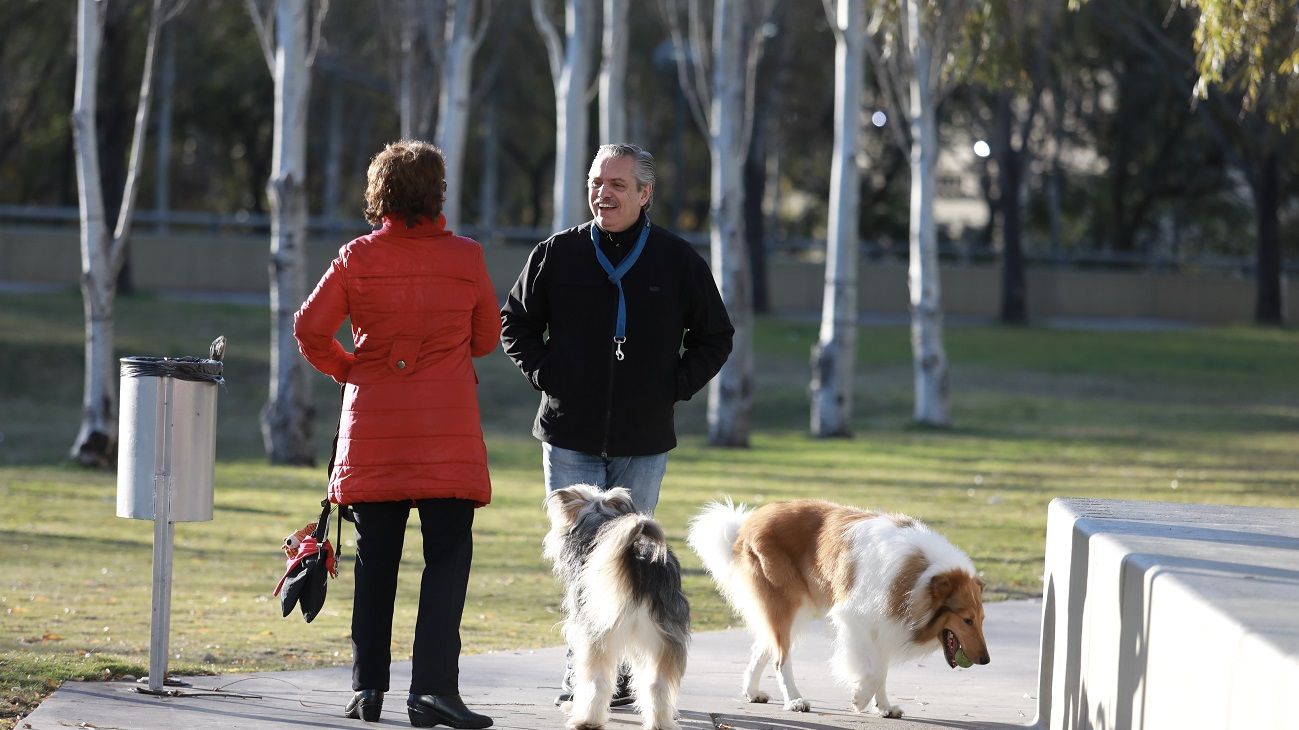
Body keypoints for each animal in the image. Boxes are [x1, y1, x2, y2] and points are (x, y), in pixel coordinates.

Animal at [542, 483, 696, 727]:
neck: (597, 524)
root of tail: (638, 561)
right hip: (662, 636)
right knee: (656, 684)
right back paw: (660, 722)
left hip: (598, 634)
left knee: (598, 682)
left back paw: (586, 719)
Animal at [691, 493, 982, 717]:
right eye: (967, 620)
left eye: (981, 619)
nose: (985, 660)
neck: (917, 578)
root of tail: (746, 523)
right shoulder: (854, 619)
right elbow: (874, 671)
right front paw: (860, 699)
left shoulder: (886, 624)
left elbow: (882, 670)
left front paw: (884, 707)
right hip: (788, 606)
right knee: (780, 659)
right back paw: (794, 701)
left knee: (762, 648)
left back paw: (752, 692)